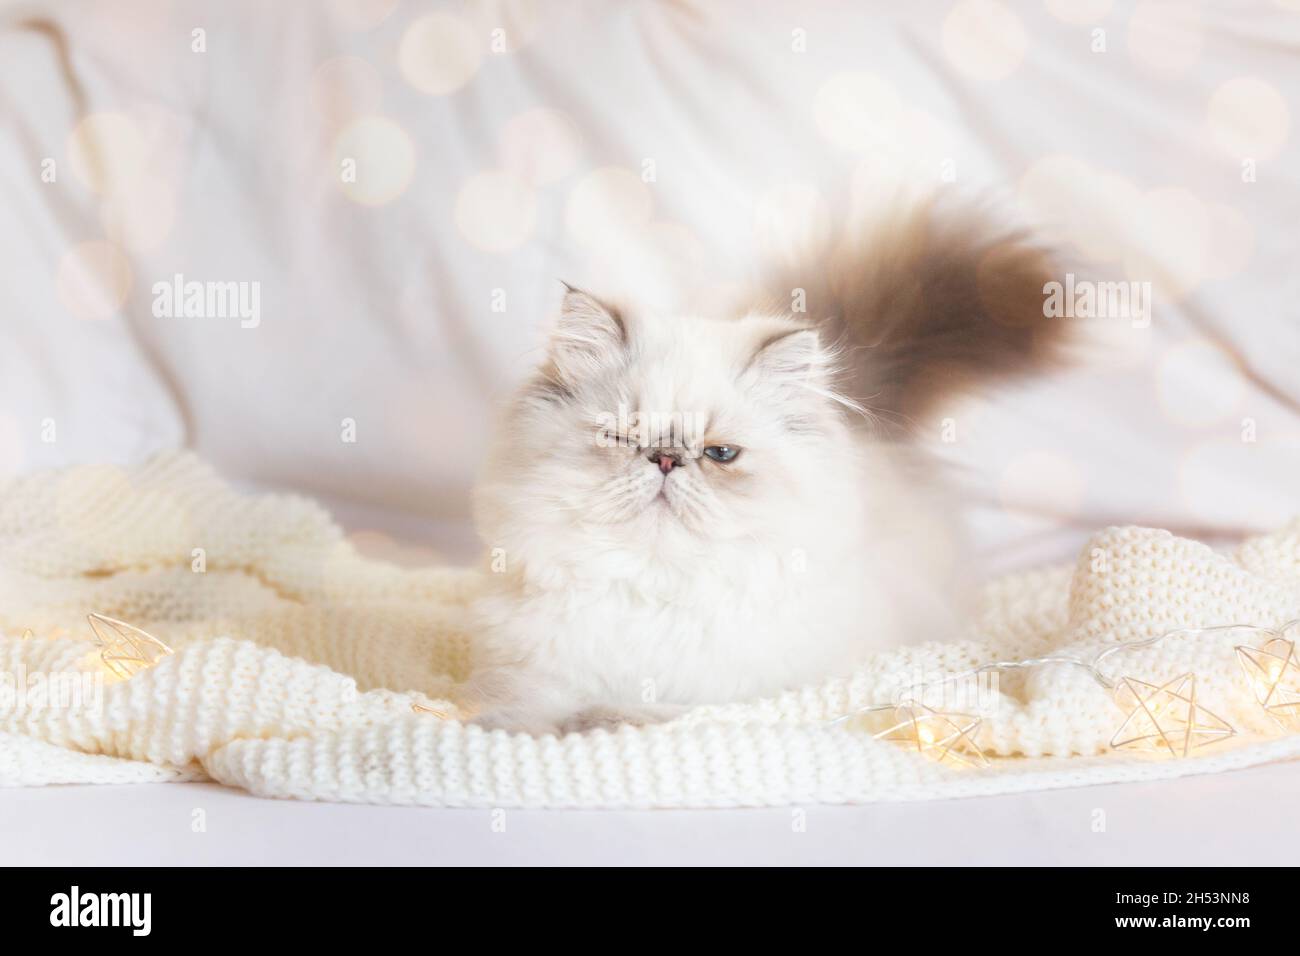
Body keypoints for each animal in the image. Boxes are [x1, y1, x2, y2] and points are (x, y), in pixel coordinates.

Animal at [465, 191, 1055, 738]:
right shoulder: (534, 675)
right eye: (621, 437)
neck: (658, 589)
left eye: (719, 454)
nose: (665, 458)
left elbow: (650, 711)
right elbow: (534, 712)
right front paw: (530, 726)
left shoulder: (750, 694)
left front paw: (611, 718)